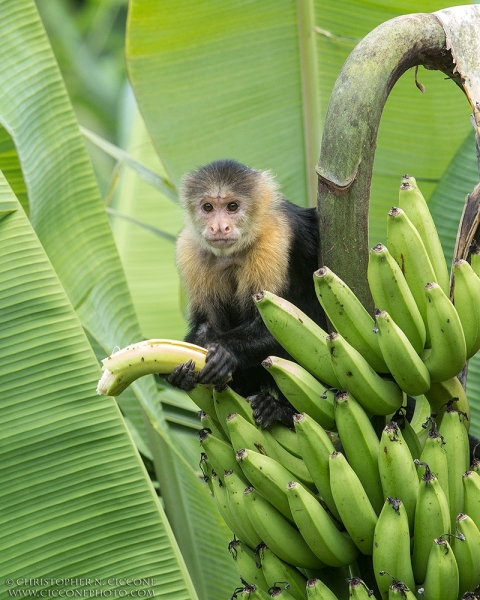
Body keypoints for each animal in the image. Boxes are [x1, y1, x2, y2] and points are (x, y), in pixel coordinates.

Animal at [167, 159, 328, 428]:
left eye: (232, 206)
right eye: (208, 207)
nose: (219, 227)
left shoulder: (275, 239)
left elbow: (280, 323)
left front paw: (224, 351)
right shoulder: (188, 249)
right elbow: (208, 323)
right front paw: (182, 371)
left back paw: (280, 411)